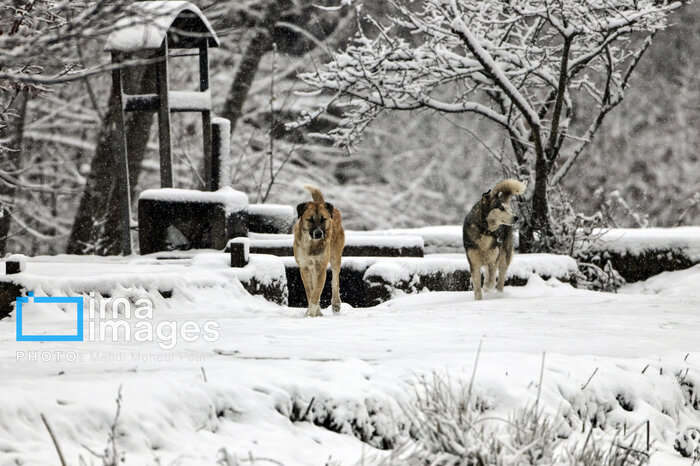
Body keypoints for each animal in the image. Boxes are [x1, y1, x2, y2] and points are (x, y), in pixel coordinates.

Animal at [292, 184, 344, 314]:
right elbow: (310, 291)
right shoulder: (304, 267)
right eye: (310, 219)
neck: (311, 244)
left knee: (335, 280)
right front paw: (313, 311)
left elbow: (316, 292)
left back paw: (336, 304)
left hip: (335, 256)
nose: (319, 233)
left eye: (323, 219)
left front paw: (311, 313)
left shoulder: (320, 267)